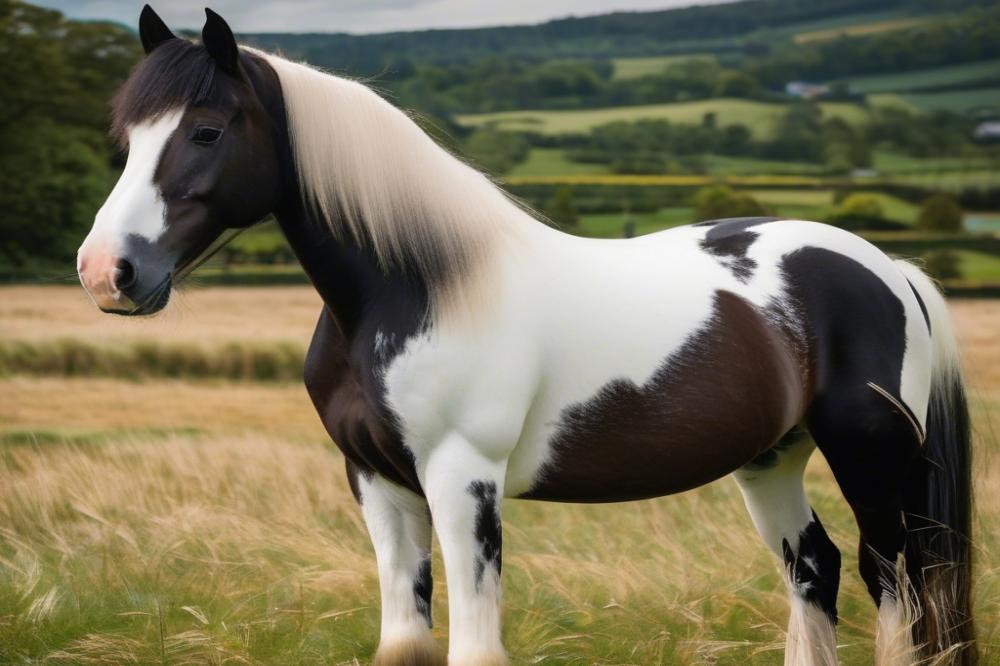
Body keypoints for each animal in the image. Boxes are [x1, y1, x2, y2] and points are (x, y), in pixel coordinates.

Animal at [78, 6, 976, 664]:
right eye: (127, 137)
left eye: (206, 130)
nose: (106, 272)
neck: (421, 288)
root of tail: (888, 267)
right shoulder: (377, 483)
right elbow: (404, 641)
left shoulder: (461, 479)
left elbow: (475, 646)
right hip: (773, 459)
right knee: (814, 569)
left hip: (867, 461)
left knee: (893, 582)